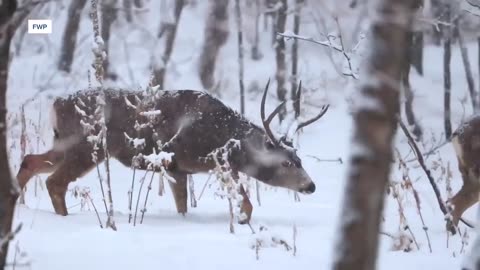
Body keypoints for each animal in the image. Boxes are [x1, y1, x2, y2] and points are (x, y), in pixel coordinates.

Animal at [16, 81, 328, 221]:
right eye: (286, 163)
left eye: (299, 159)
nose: (311, 186)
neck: (220, 134)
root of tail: (57, 104)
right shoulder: (211, 162)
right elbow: (247, 205)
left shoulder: (177, 168)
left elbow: (182, 206)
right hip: (87, 146)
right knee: (54, 181)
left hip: (63, 143)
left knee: (30, 161)